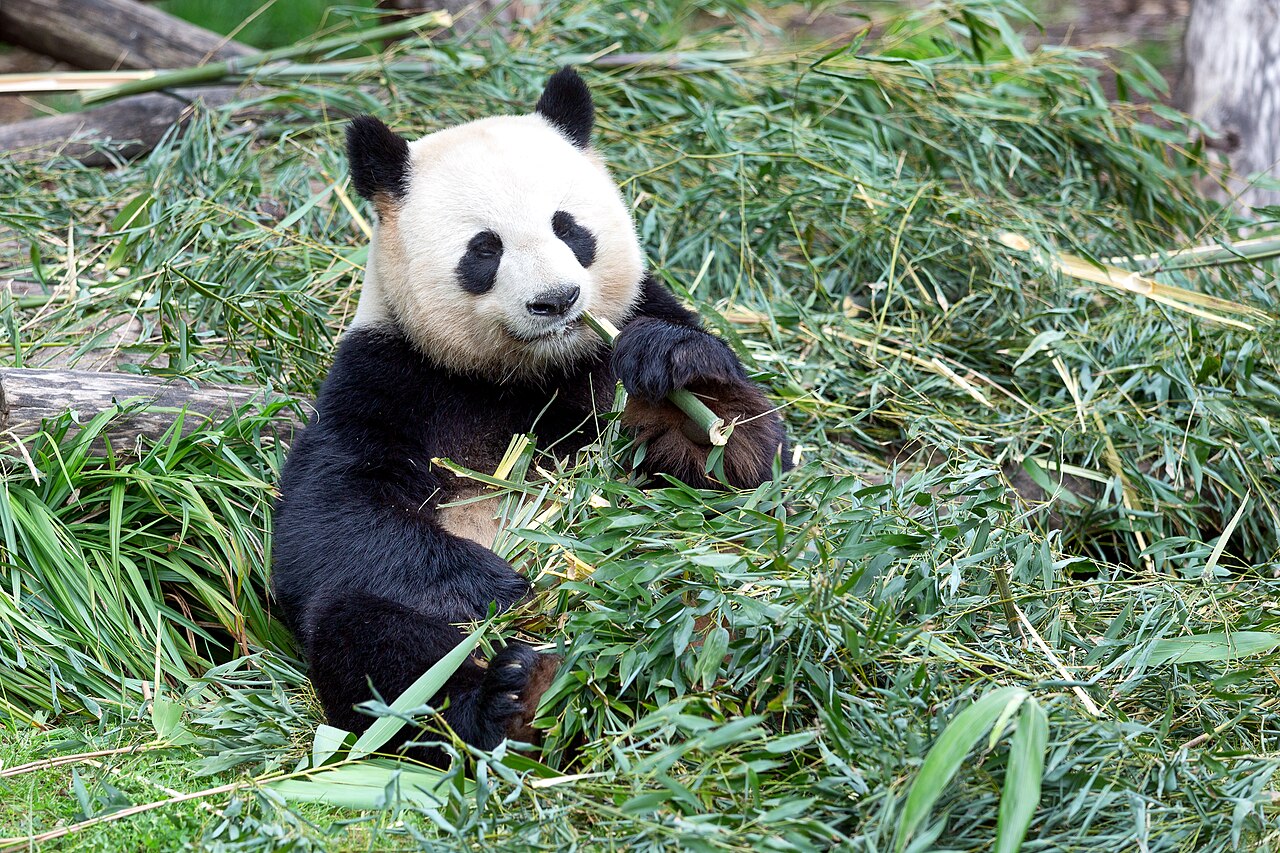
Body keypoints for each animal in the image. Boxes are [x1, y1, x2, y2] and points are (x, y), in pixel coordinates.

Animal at [271, 67, 788, 762]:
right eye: (484, 250)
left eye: (568, 228)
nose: (558, 299)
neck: (523, 372)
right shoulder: (387, 375)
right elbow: (327, 520)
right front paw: (499, 582)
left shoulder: (615, 344)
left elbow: (744, 469)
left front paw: (674, 368)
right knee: (371, 637)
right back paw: (506, 698)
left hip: (704, 592)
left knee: (708, 585)